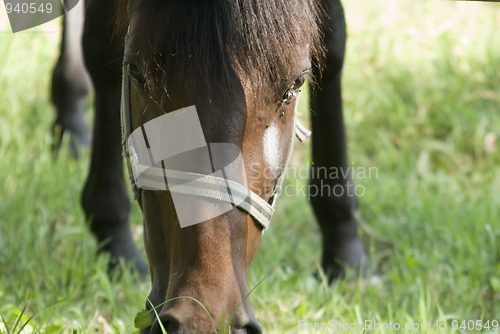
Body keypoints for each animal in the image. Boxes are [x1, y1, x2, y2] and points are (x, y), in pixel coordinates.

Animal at [51, 0, 368, 332]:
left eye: (295, 84)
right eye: (137, 74)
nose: (204, 319)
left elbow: (334, 43)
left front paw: (345, 250)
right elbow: (100, 46)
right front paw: (113, 235)